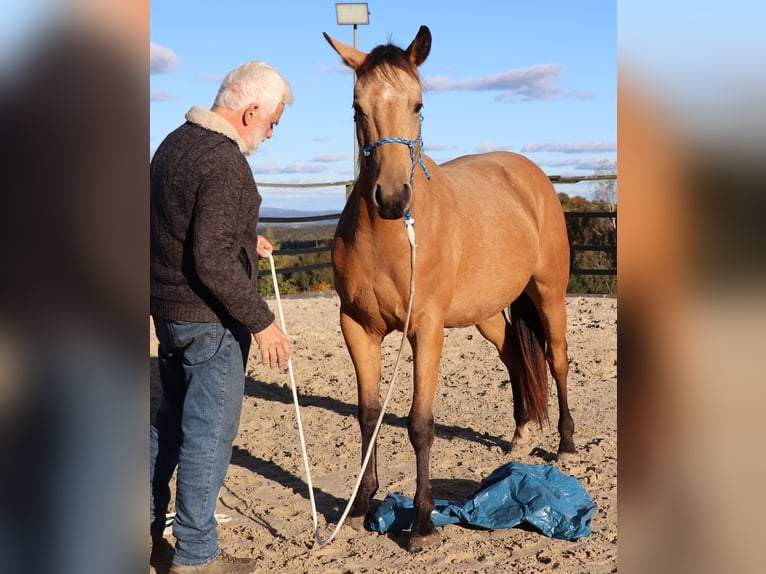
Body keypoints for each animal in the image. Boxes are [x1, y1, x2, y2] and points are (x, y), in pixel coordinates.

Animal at [323, 25, 575, 551]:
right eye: (357, 107)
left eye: (418, 103)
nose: (391, 198)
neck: (391, 237)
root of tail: (530, 173)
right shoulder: (356, 327)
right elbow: (368, 415)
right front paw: (360, 506)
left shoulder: (427, 329)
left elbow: (420, 424)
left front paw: (421, 524)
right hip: (487, 311)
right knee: (513, 356)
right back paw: (521, 432)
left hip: (548, 294)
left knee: (558, 359)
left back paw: (565, 441)